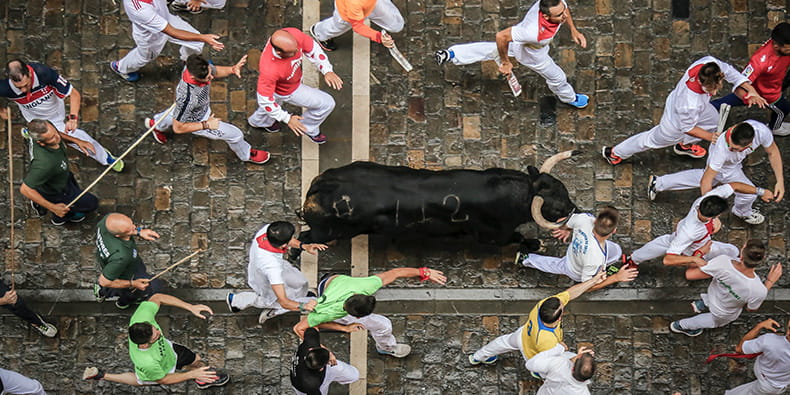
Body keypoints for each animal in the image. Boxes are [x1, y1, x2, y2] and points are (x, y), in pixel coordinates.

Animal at [296, 151, 580, 248]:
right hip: (328, 232)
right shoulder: (492, 236)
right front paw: (536, 244)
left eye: (563, 189)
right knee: (303, 238)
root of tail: (322, 184)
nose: (575, 208)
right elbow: (517, 238)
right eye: (556, 205)